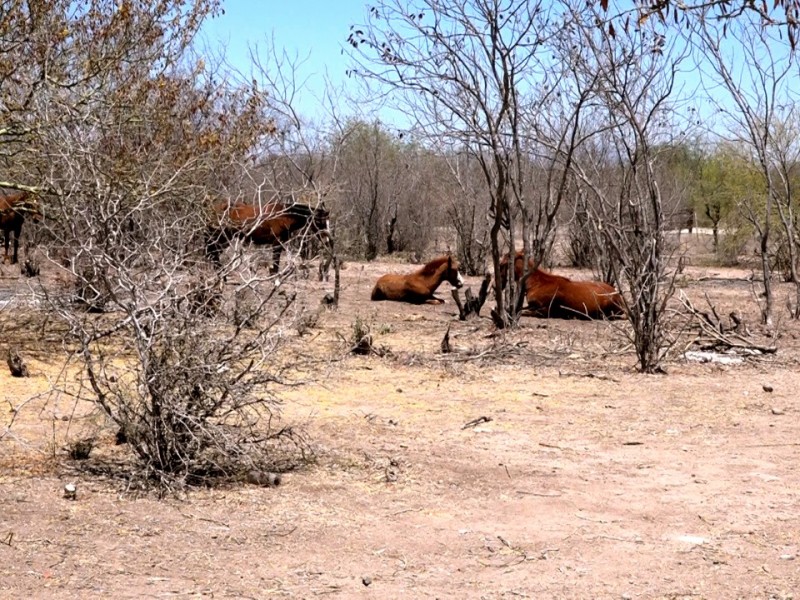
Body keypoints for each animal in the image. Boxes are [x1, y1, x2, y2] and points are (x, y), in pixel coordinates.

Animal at [496, 252, 628, 322]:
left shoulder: (544, 310)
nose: (498, 285)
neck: (537, 282)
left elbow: (522, 311)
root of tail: (618, 296)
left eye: (502, 264)